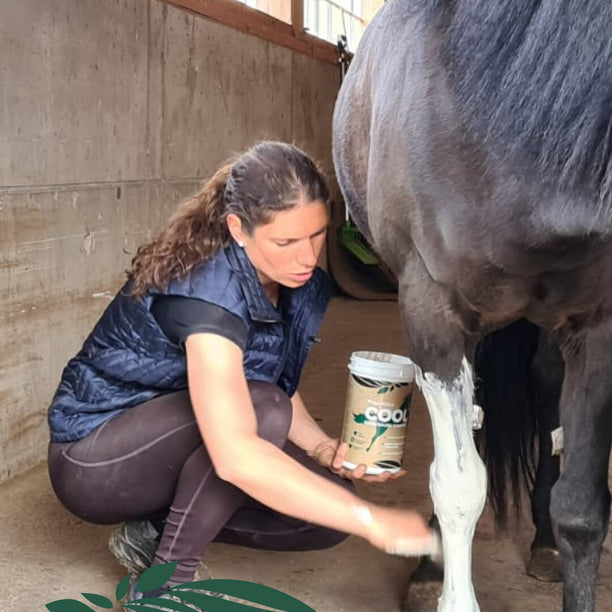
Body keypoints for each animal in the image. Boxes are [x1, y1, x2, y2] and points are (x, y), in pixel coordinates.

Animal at [332, 1, 612, 612]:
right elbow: (460, 486)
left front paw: (557, 536)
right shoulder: (434, 317)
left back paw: (541, 544)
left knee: (543, 390)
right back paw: (429, 569)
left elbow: (582, 509)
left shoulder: (598, 329)